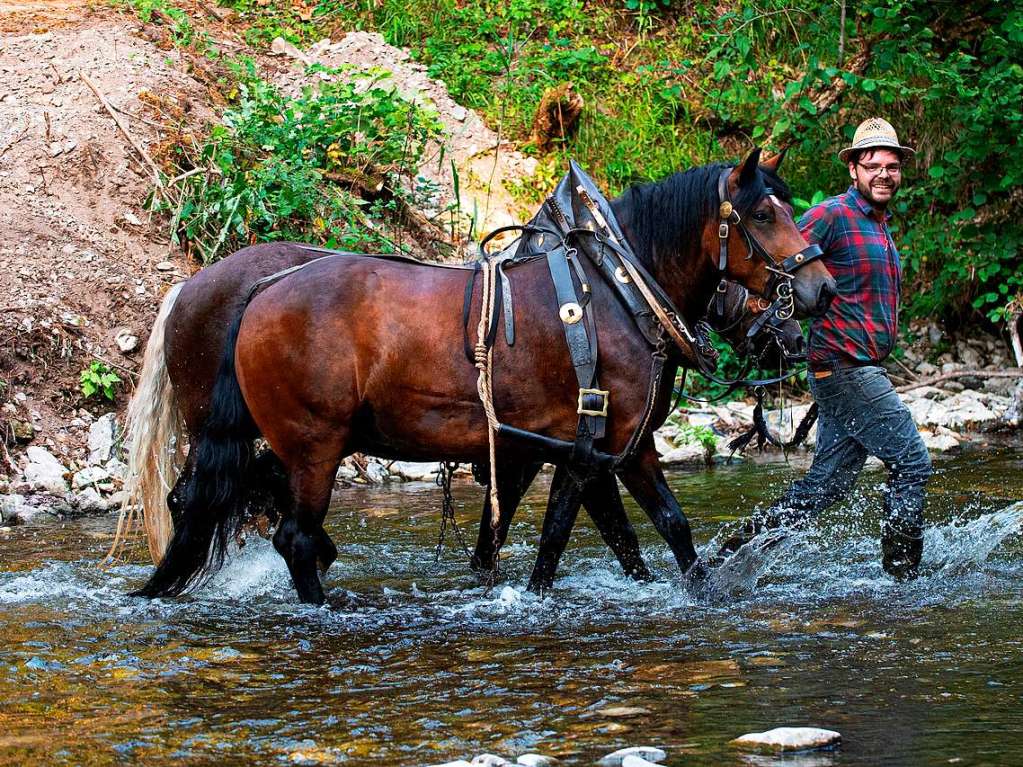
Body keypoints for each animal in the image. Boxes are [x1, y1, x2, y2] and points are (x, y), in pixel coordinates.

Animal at [125, 151, 830, 605]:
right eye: (762, 216)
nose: (818, 293)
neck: (616, 290)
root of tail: (259, 292)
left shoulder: (615, 450)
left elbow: (660, 531)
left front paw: (702, 590)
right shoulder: (582, 453)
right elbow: (554, 542)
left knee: (222, 507)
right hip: (312, 446)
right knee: (287, 534)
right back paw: (327, 605)